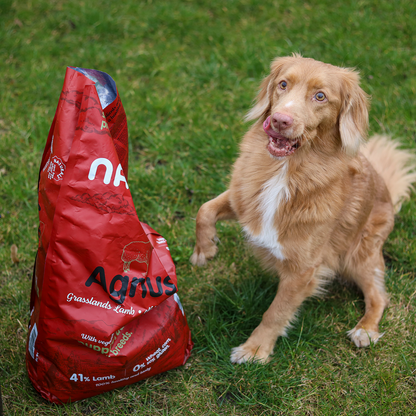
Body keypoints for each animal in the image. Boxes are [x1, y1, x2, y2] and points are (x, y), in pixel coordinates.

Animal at [189, 55, 416, 364]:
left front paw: (254, 350)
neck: (285, 172)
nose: (279, 120)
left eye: (320, 96)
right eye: (283, 84)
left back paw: (365, 330)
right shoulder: (243, 199)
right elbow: (205, 209)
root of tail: (388, 194)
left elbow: (276, 312)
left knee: (379, 296)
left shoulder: (302, 270)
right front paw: (205, 250)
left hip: (359, 255)